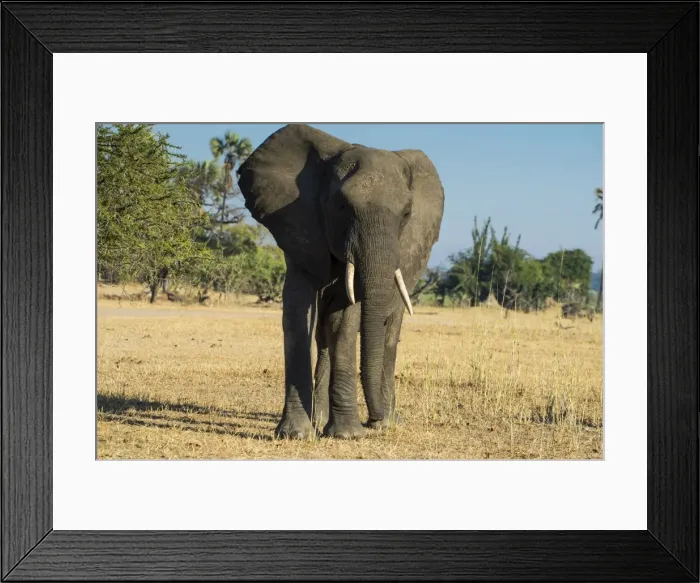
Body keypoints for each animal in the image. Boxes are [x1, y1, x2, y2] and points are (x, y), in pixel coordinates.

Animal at [237, 124, 444, 439]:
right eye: (341, 206)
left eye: (407, 213)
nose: (373, 418)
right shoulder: (301, 229)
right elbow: (298, 311)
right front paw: (296, 434)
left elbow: (345, 319)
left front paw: (348, 435)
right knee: (322, 334)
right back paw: (322, 421)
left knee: (389, 331)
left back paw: (380, 422)